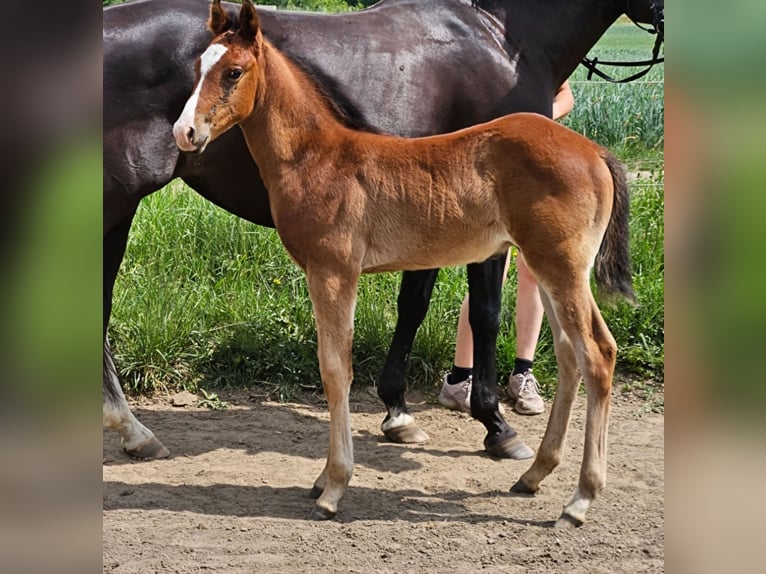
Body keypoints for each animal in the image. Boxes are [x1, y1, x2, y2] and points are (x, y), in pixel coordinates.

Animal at [174, 1, 636, 532]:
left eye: (233, 71)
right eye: (196, 68)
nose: (185, 132)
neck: (317, 158)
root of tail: (594, 150)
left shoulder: (333, 272)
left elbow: (335, 369)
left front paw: (333, 487)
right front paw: (324, 478)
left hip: (560, 266)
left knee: (598, 354)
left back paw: (580, 499)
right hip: (549, 269)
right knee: (569, 355)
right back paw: (535, 474)